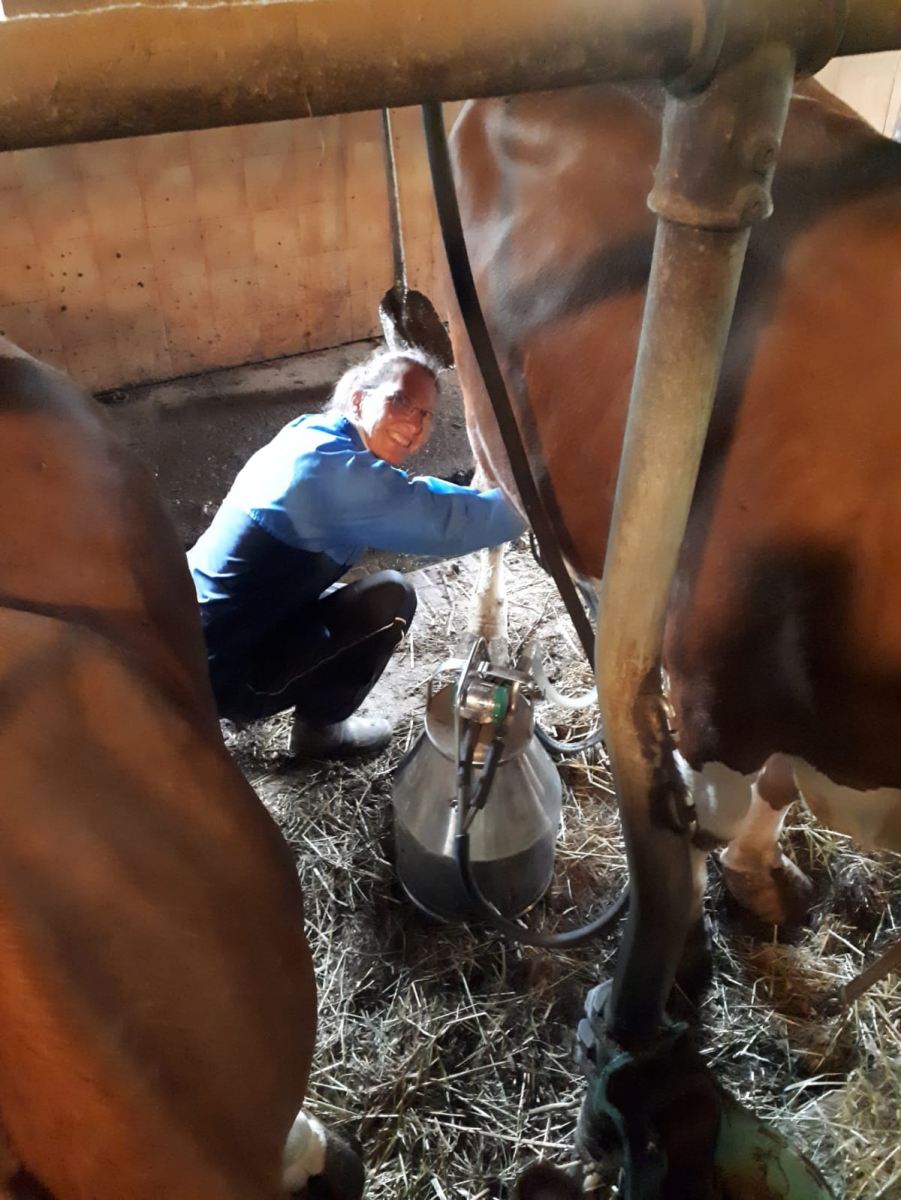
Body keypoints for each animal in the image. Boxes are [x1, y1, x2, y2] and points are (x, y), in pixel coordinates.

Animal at [448, 79, 901, 930]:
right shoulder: (715, 699)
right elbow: (716, 810)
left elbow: (778, 784)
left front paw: (759, 876)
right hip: (480, 386)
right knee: (492, 504)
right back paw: (490, 625)